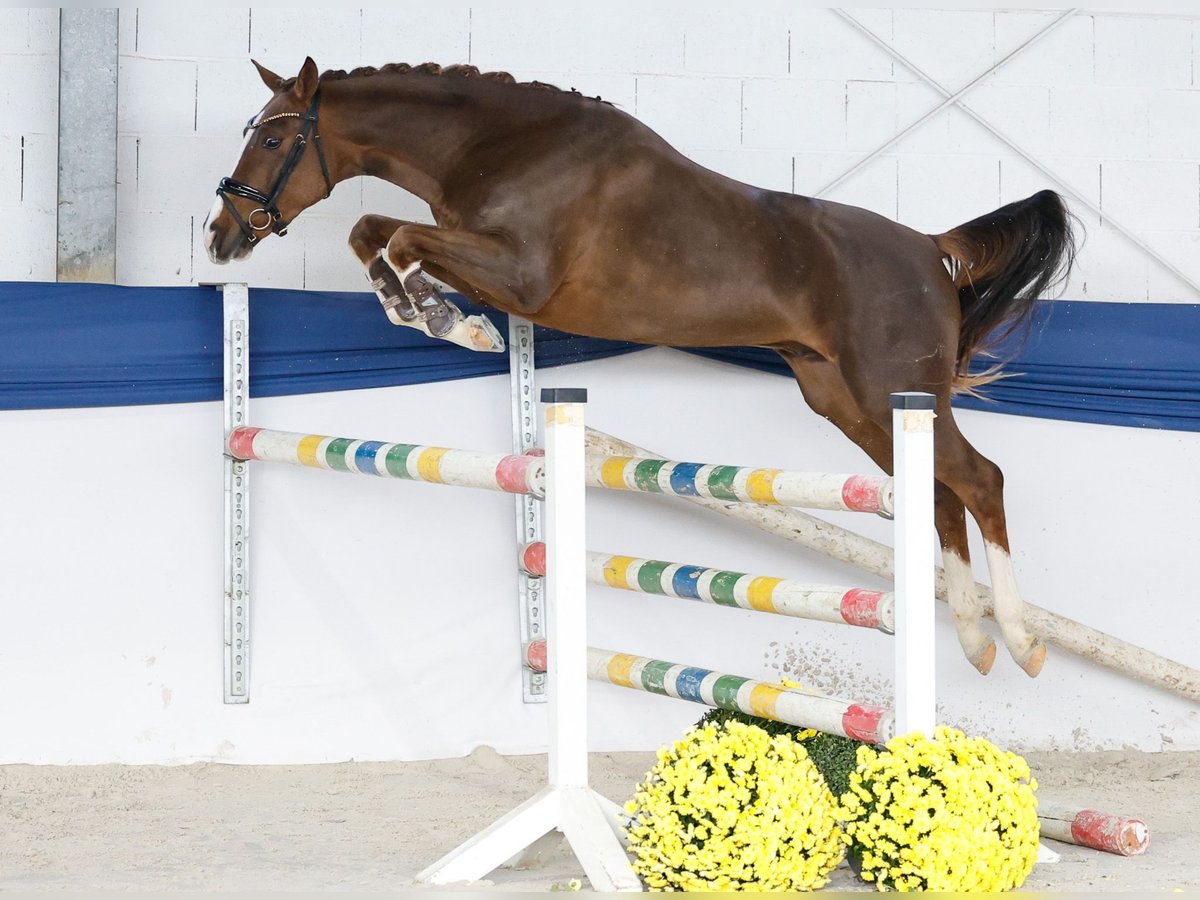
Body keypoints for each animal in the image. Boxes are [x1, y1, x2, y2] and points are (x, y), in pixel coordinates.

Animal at [204, 57, 1076, 679]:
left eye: (274, 139)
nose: (222, 237)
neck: (502, 148)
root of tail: (931, 248)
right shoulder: (494, 266)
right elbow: (373, 235)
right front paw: (436, 316)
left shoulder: (521, 274)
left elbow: (401, 238)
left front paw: (451, 320)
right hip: (849, 402)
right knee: (941, 495)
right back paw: (974, 641)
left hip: (890, 387)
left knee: (979, 480)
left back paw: (1020, 641)